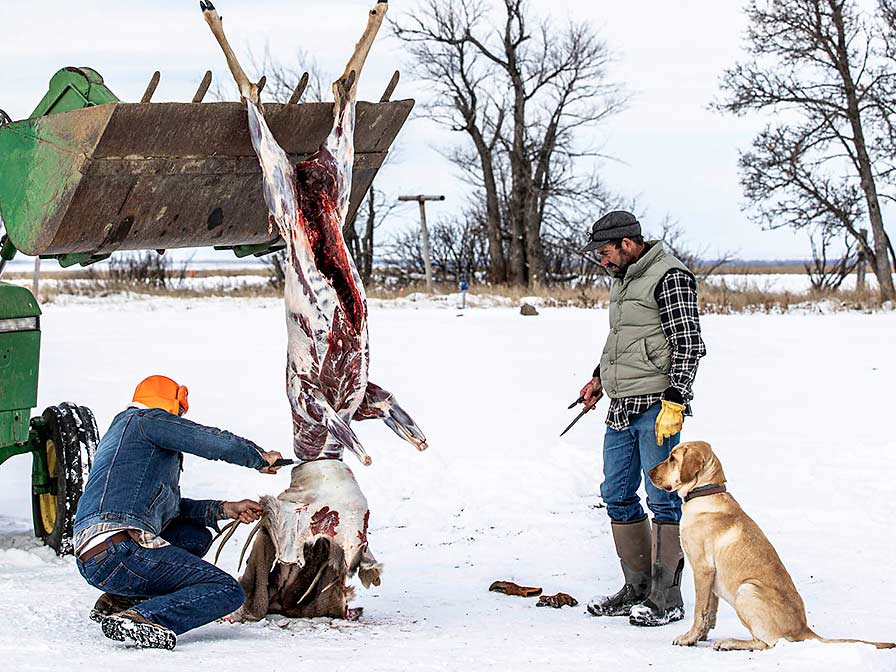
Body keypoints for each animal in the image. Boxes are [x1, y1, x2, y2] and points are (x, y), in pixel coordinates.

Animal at [648, 440, 892, 652]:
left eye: (672, 458)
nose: (649, 473)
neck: (705, 493)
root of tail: (804, 630)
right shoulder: (711, 578)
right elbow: (710, 611)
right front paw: (700, 637)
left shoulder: (703, 569)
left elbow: (700, 611)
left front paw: (688, 638)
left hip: (746, 589)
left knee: (766, 643)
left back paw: (731, 642)